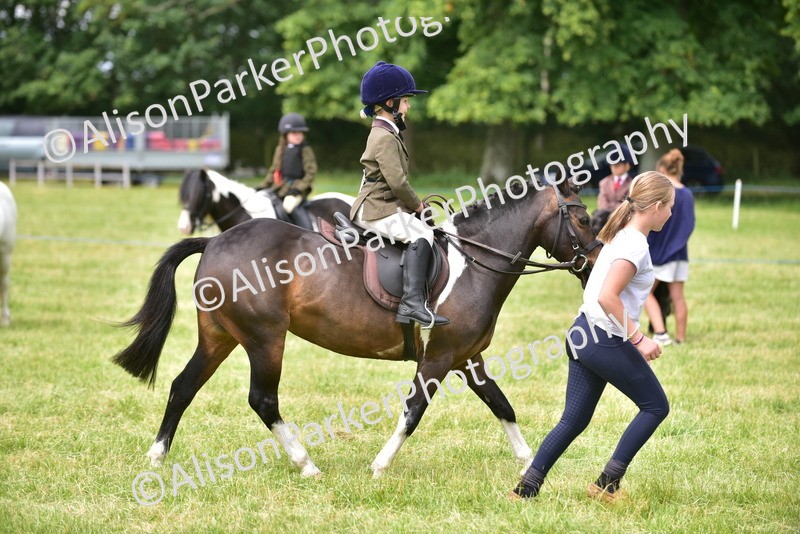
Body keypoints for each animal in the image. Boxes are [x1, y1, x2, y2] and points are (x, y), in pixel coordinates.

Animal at [113, 178, 601, 478]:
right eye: (582, 219)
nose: (595, 265)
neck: (475, 263)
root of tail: (215, 240)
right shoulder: (440, 357)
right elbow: (413, 411)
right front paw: (380, 464)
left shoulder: (466, 357)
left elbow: (502, 405)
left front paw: (527, 462)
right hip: (264, 339)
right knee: (262, 399)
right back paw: (306, 463)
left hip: (220, 337)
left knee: (183, 386)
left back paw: (157, 455)